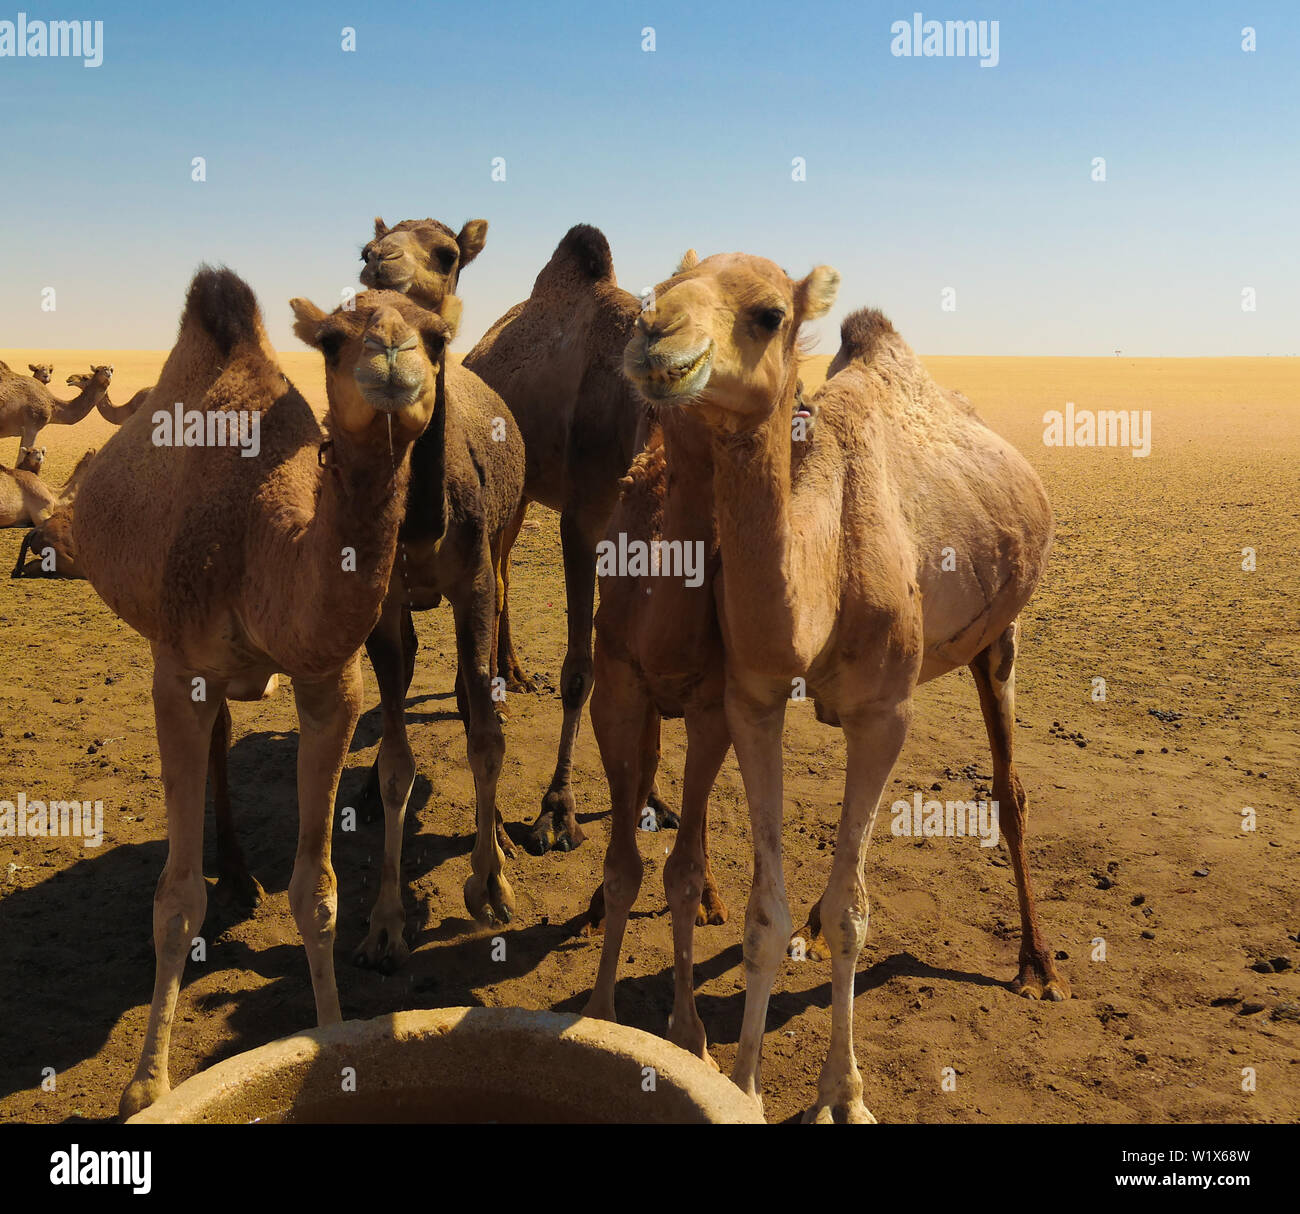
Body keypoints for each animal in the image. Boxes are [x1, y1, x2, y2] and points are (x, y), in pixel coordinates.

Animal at [76, 269, 454, 1123]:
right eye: (334, 339)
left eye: (438, 335)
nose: (392, 356)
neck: (260, 546)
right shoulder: (177, 672)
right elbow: (176, 898)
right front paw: (147, 1081)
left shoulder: (330, 684)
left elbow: (317, 892)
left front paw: (338, 1043)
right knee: (214, 740)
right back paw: (234, 875)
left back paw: (244, 874)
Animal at [618, 252, 1066, 1128]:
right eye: (656, 290)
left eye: (766, 313)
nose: (654, 337)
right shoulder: (752, 700)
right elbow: (765, 914)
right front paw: (745, 1088)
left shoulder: (884, 713)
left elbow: (861, 915)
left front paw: (843, 1096)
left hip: (1001, 635)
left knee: (1010, 792)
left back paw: (1036, 966)